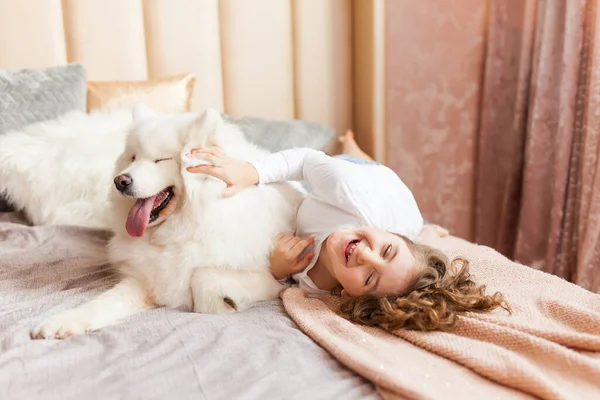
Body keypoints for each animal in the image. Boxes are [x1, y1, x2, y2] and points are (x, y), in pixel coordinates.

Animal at [31, 104, 304, 340]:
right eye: (132, 158)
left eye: (160, 160)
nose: (120, 181)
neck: (180, 230)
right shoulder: (146, 280)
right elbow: (103, 302)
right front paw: (61, 323)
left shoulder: (270, 277)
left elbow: (204, 277)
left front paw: (223, 304)